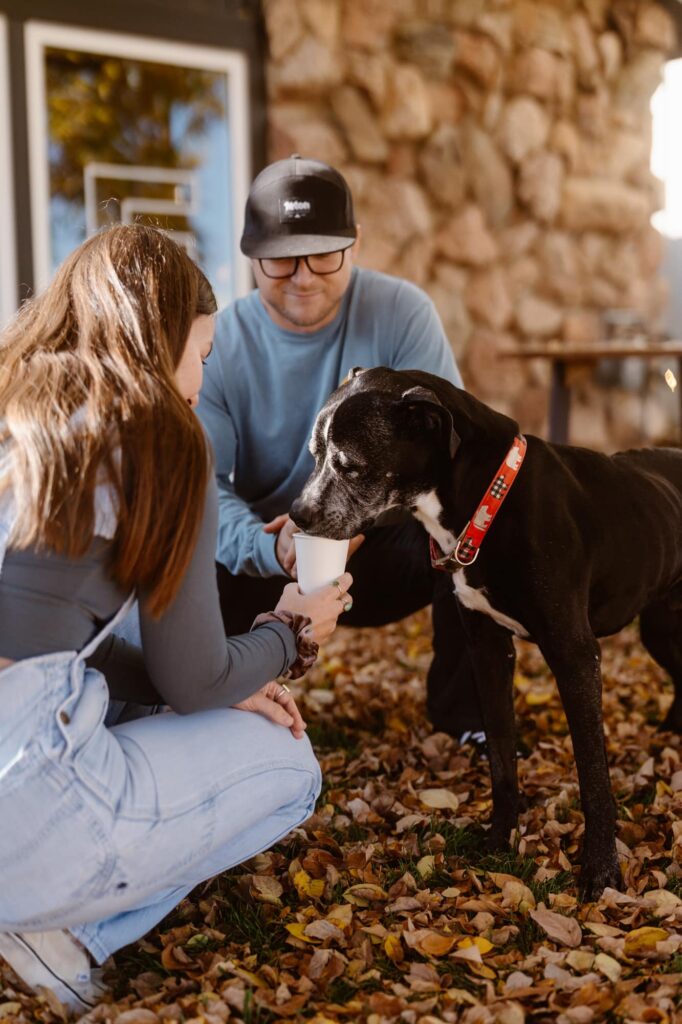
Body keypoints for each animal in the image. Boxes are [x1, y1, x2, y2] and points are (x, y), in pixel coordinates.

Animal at [288, 368, 682, 897]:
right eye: (313, 454)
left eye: (349, 466)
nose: (296, 513)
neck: (488, 500)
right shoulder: (487, 648)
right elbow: (499, 754)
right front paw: (500, 838)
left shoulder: (574, 653)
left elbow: (592, 773)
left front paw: (601, 871)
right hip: (660, 627)